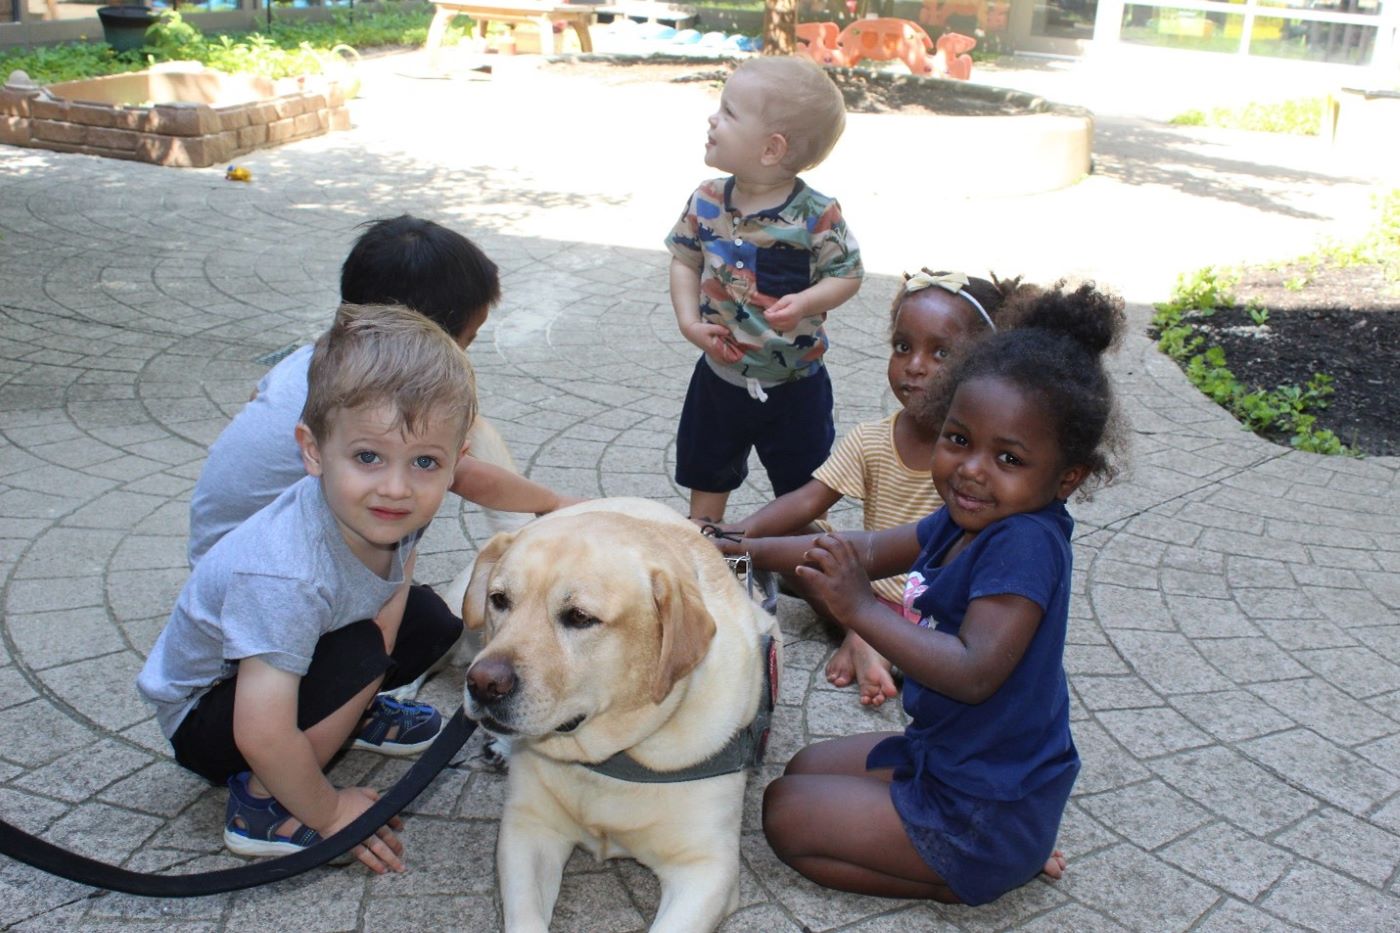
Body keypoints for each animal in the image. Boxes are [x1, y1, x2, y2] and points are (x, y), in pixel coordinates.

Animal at [464, 498, 784, 924]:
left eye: (579, 617)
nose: (483, 684)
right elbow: (525, 918)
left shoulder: (706, 868)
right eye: (499, 599)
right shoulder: (527, 830)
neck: (609, 759)